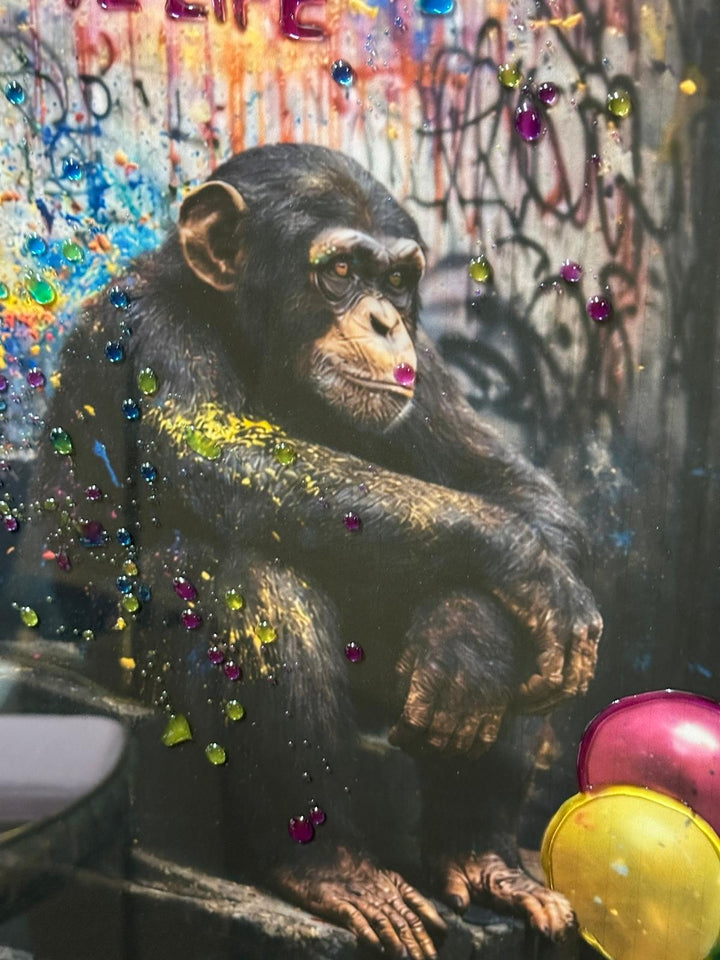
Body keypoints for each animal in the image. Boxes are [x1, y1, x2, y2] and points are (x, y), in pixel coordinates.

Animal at [12, 143, 601, 958]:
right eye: (342, 270)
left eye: (397, 280)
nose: (385, 321)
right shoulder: (150, 330)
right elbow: (231, 460)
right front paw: (519, 563)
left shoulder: (429, 367)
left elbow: (509, 485)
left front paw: (474, 631)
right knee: (261, 580)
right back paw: (332, 870)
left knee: (522, 628)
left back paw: (483, 856)